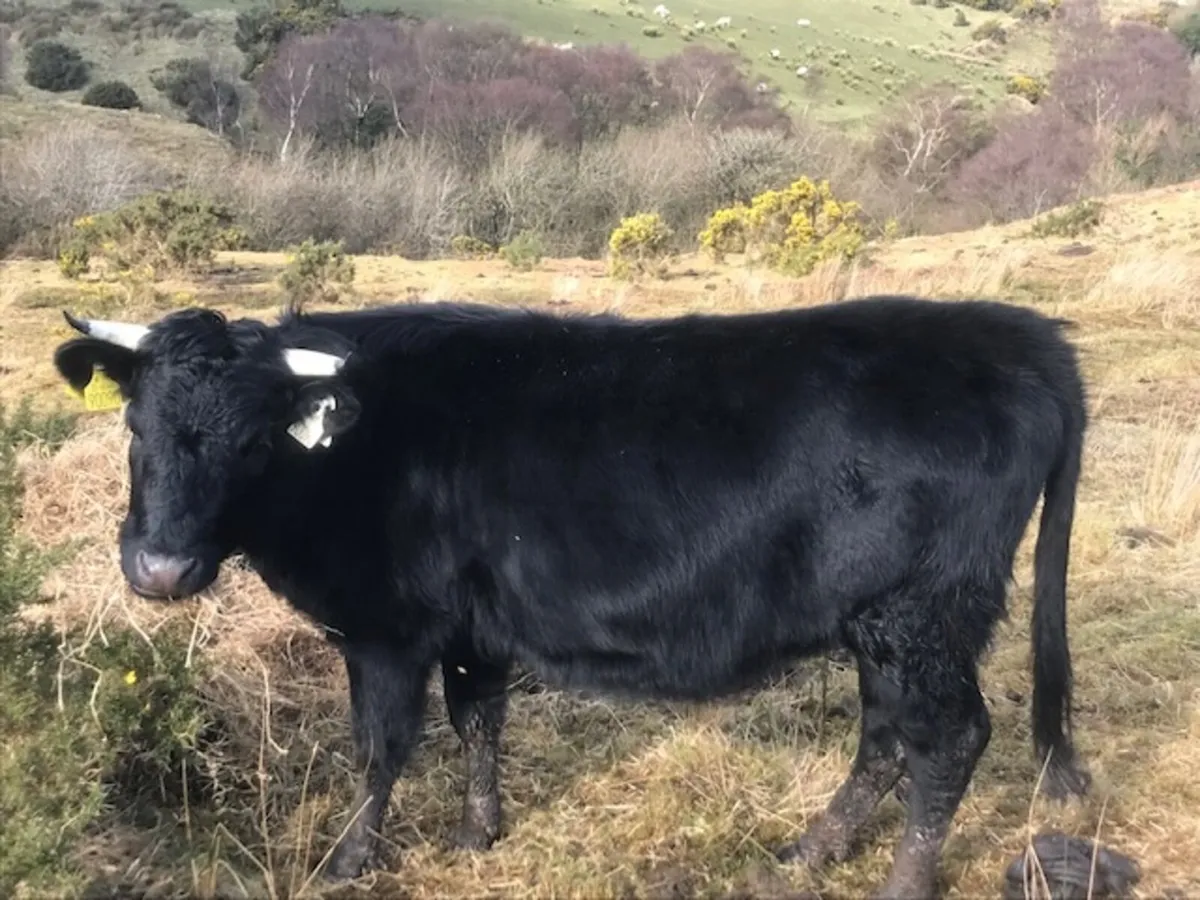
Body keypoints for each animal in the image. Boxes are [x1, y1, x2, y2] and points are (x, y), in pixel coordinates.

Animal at [51, 295, 1092, 899]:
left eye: (253, 440)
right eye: (136, 425)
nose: (159, 569)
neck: (350, 446)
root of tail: (1021, 333)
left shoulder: (387, 630)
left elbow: (379, 748)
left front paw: (348, 863)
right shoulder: (472, 627)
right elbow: (478, 722)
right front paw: (479, 833)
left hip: (923, 612)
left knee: (947, 738)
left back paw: (901, 883)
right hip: (882, 623)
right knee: (885, 737)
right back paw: (812, 851)